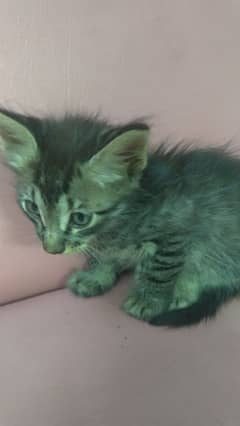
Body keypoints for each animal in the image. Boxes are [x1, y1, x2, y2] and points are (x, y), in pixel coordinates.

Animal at [0, 109, 240, 326]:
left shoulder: (178, 226)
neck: (121, 217)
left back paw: (185, 288)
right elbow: (103, 255)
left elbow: (159, 268)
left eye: (80, 219)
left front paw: (147, 299)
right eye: (32, 207)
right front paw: (94, 276)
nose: (51, 250)